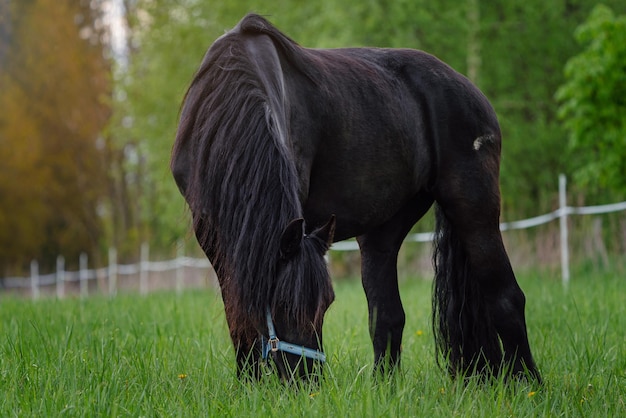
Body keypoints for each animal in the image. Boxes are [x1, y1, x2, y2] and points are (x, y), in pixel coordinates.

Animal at [171, 14, 536, 382]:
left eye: (327, 304)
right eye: (283, 305)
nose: (307, 381)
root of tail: (471, 91)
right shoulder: (213, 235)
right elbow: (239, 312)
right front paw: (249, 384)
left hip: (475, 209)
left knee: (508, 298)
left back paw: (527, 382)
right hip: (382, 232)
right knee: (387, 314)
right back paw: (384, 386)